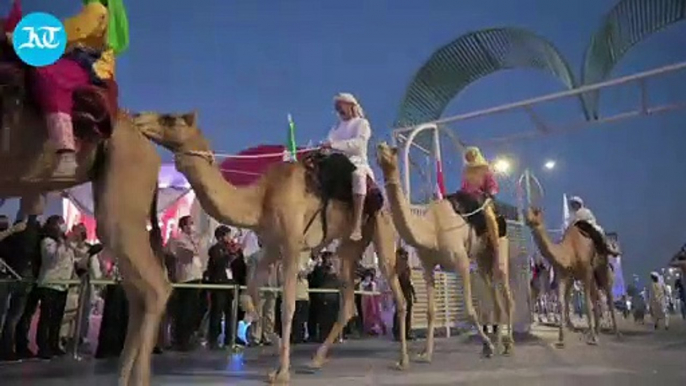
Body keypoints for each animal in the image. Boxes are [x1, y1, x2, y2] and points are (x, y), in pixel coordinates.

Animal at [136, 111, 408, 382]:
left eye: (170, 119)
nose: (138, 118)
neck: (261, 200)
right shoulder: (270, 248)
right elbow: (252, 294)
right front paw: (275, 355)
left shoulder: (292, 246)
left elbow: (287, 307)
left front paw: (283, 372)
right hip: (350, 248)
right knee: (349, 300)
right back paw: (317, 359)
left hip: (381, 229)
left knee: (397, 290)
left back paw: (402, 360)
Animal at [374, 142, 512, 358]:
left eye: (393, 150)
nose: (380, 146)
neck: (432, 228)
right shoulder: (428, 266)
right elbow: (430, 311)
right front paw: (426, 353)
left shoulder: (461, 261)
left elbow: (470, 310)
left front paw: (487, 345)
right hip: (482, 259)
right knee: (494, 295)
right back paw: (498, 345)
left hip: (499, 245)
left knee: (506, 293)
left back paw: (507, 345)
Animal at [524, 208, 620, 346]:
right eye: (526, 211)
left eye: (536, 212)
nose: (527, 218)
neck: (569, 251)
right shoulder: (564, 276)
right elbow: (561, 303)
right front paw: (561, 338)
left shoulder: (586, 272)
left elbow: (587, 303)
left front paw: (593, 338)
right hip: (590, 277)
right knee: (596, 296)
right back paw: (596, 330)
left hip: (602, 268)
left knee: (607, 296)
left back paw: (615, 333)